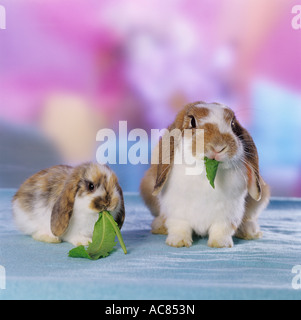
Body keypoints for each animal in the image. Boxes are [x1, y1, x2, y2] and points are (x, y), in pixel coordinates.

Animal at [141, 101, 270, 249]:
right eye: (192, 121)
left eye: (232, 124)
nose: (218, 147)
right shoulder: (176, 212)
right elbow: (179, 226)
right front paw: (178, 242)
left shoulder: (228, 214)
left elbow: (222, 229)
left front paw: (220, 244)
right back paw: (159, 227)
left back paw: (250, 232)